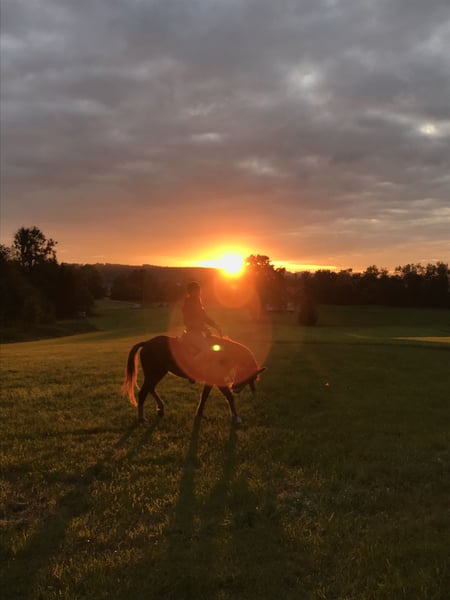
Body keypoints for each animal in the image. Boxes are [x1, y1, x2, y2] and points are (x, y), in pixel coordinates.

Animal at [122, 334, 265, 424]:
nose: (236, 389)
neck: (222, 354)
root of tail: (146, 343)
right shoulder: (218, 380)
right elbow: (229, 397)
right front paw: (236, 418)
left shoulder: (211, 381)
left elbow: (204, 396)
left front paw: (199, 412)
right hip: (154, 373)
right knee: (143, 392)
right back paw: (142, 418)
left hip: (158, 373)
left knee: (150, 388)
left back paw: (160, 408)